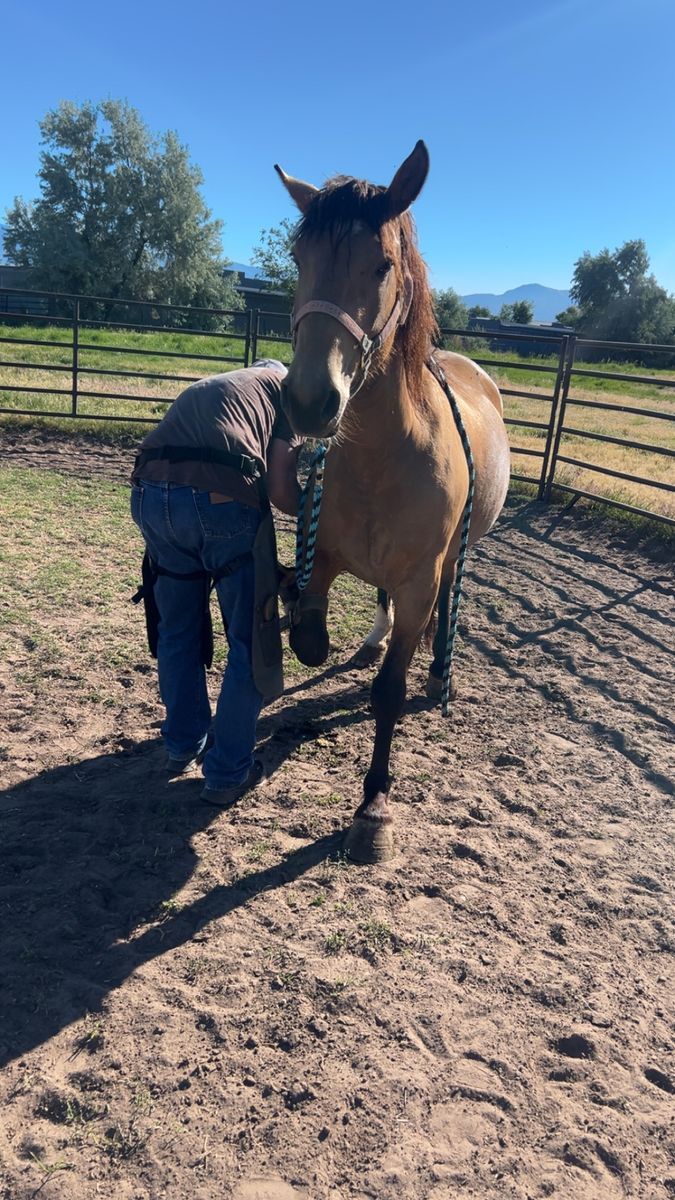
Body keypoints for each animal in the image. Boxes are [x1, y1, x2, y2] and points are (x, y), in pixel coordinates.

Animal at [276, 140, 510, 864]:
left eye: (381, 265)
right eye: (299, 259)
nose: (309, 400)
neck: (387, 450)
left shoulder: (417, 582)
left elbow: (387, 692)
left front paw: (373, 809)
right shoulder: (323, 555)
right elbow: (308, 635)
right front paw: (320, 634)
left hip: (454, 558)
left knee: (447, 603)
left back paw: (437, 671)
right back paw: (373, 641)